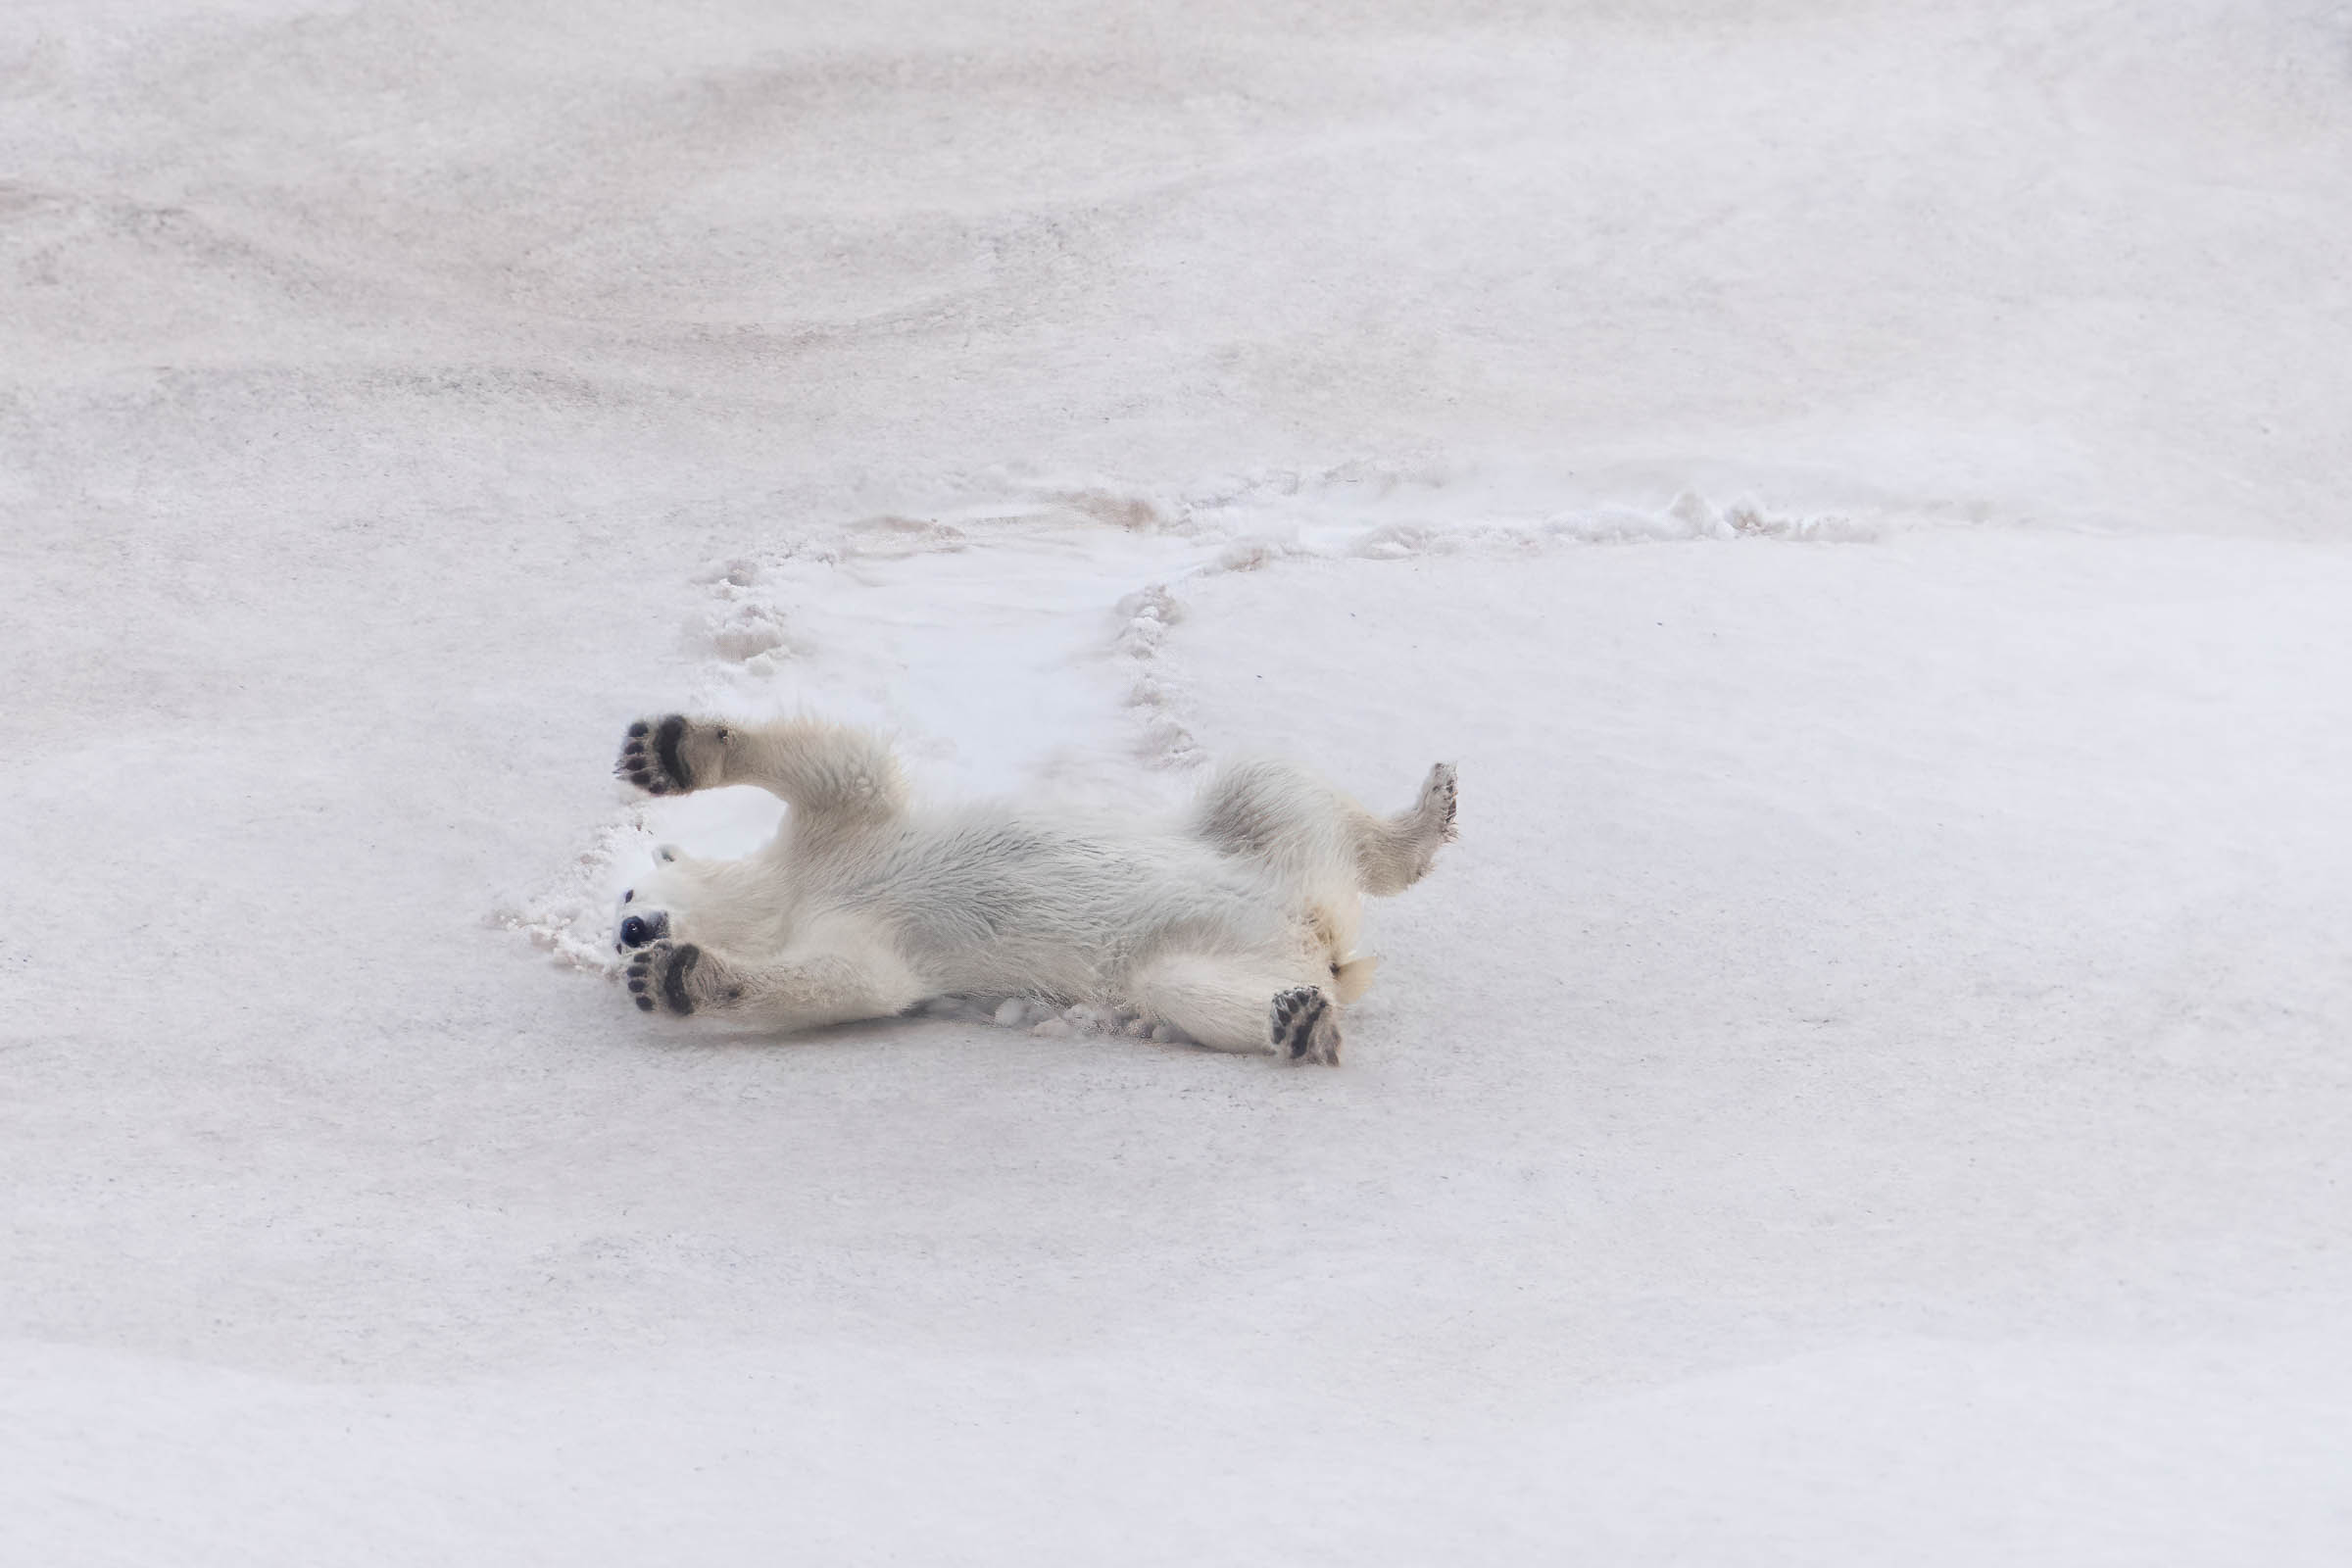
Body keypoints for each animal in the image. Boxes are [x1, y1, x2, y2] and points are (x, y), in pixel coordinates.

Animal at [612, 715, 1456, 1064]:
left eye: (621, 897)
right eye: (615, 918)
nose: (630, 931)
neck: (788, 895)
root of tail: (1319, 930)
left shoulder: (840, 831)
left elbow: (839, 765)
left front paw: (668, 750)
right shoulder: (852, 933)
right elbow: (851, 981)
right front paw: (674, 978)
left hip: (1255, 843)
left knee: (1270, 785)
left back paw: (1428, 816)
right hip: (1215, 951)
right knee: (1186, 987)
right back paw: (1301, 1023)